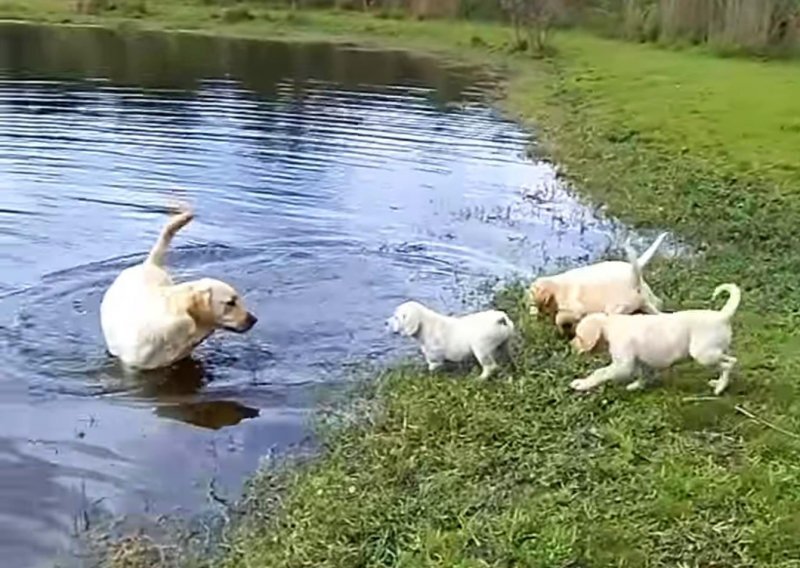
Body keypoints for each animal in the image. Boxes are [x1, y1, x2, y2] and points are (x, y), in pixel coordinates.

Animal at [572, 282, 740, 394]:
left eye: (579, 337)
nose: (571, 345)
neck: (609, 325)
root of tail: (722, 315)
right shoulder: (641, 361)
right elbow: (644, 373)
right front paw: (638, 385)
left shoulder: (623, 365)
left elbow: (600, 373)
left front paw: (582, 384)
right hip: (714, 351)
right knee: (726, 362)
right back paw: (719, 383)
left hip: (703, 354)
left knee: (730, 363)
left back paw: (720, 387)